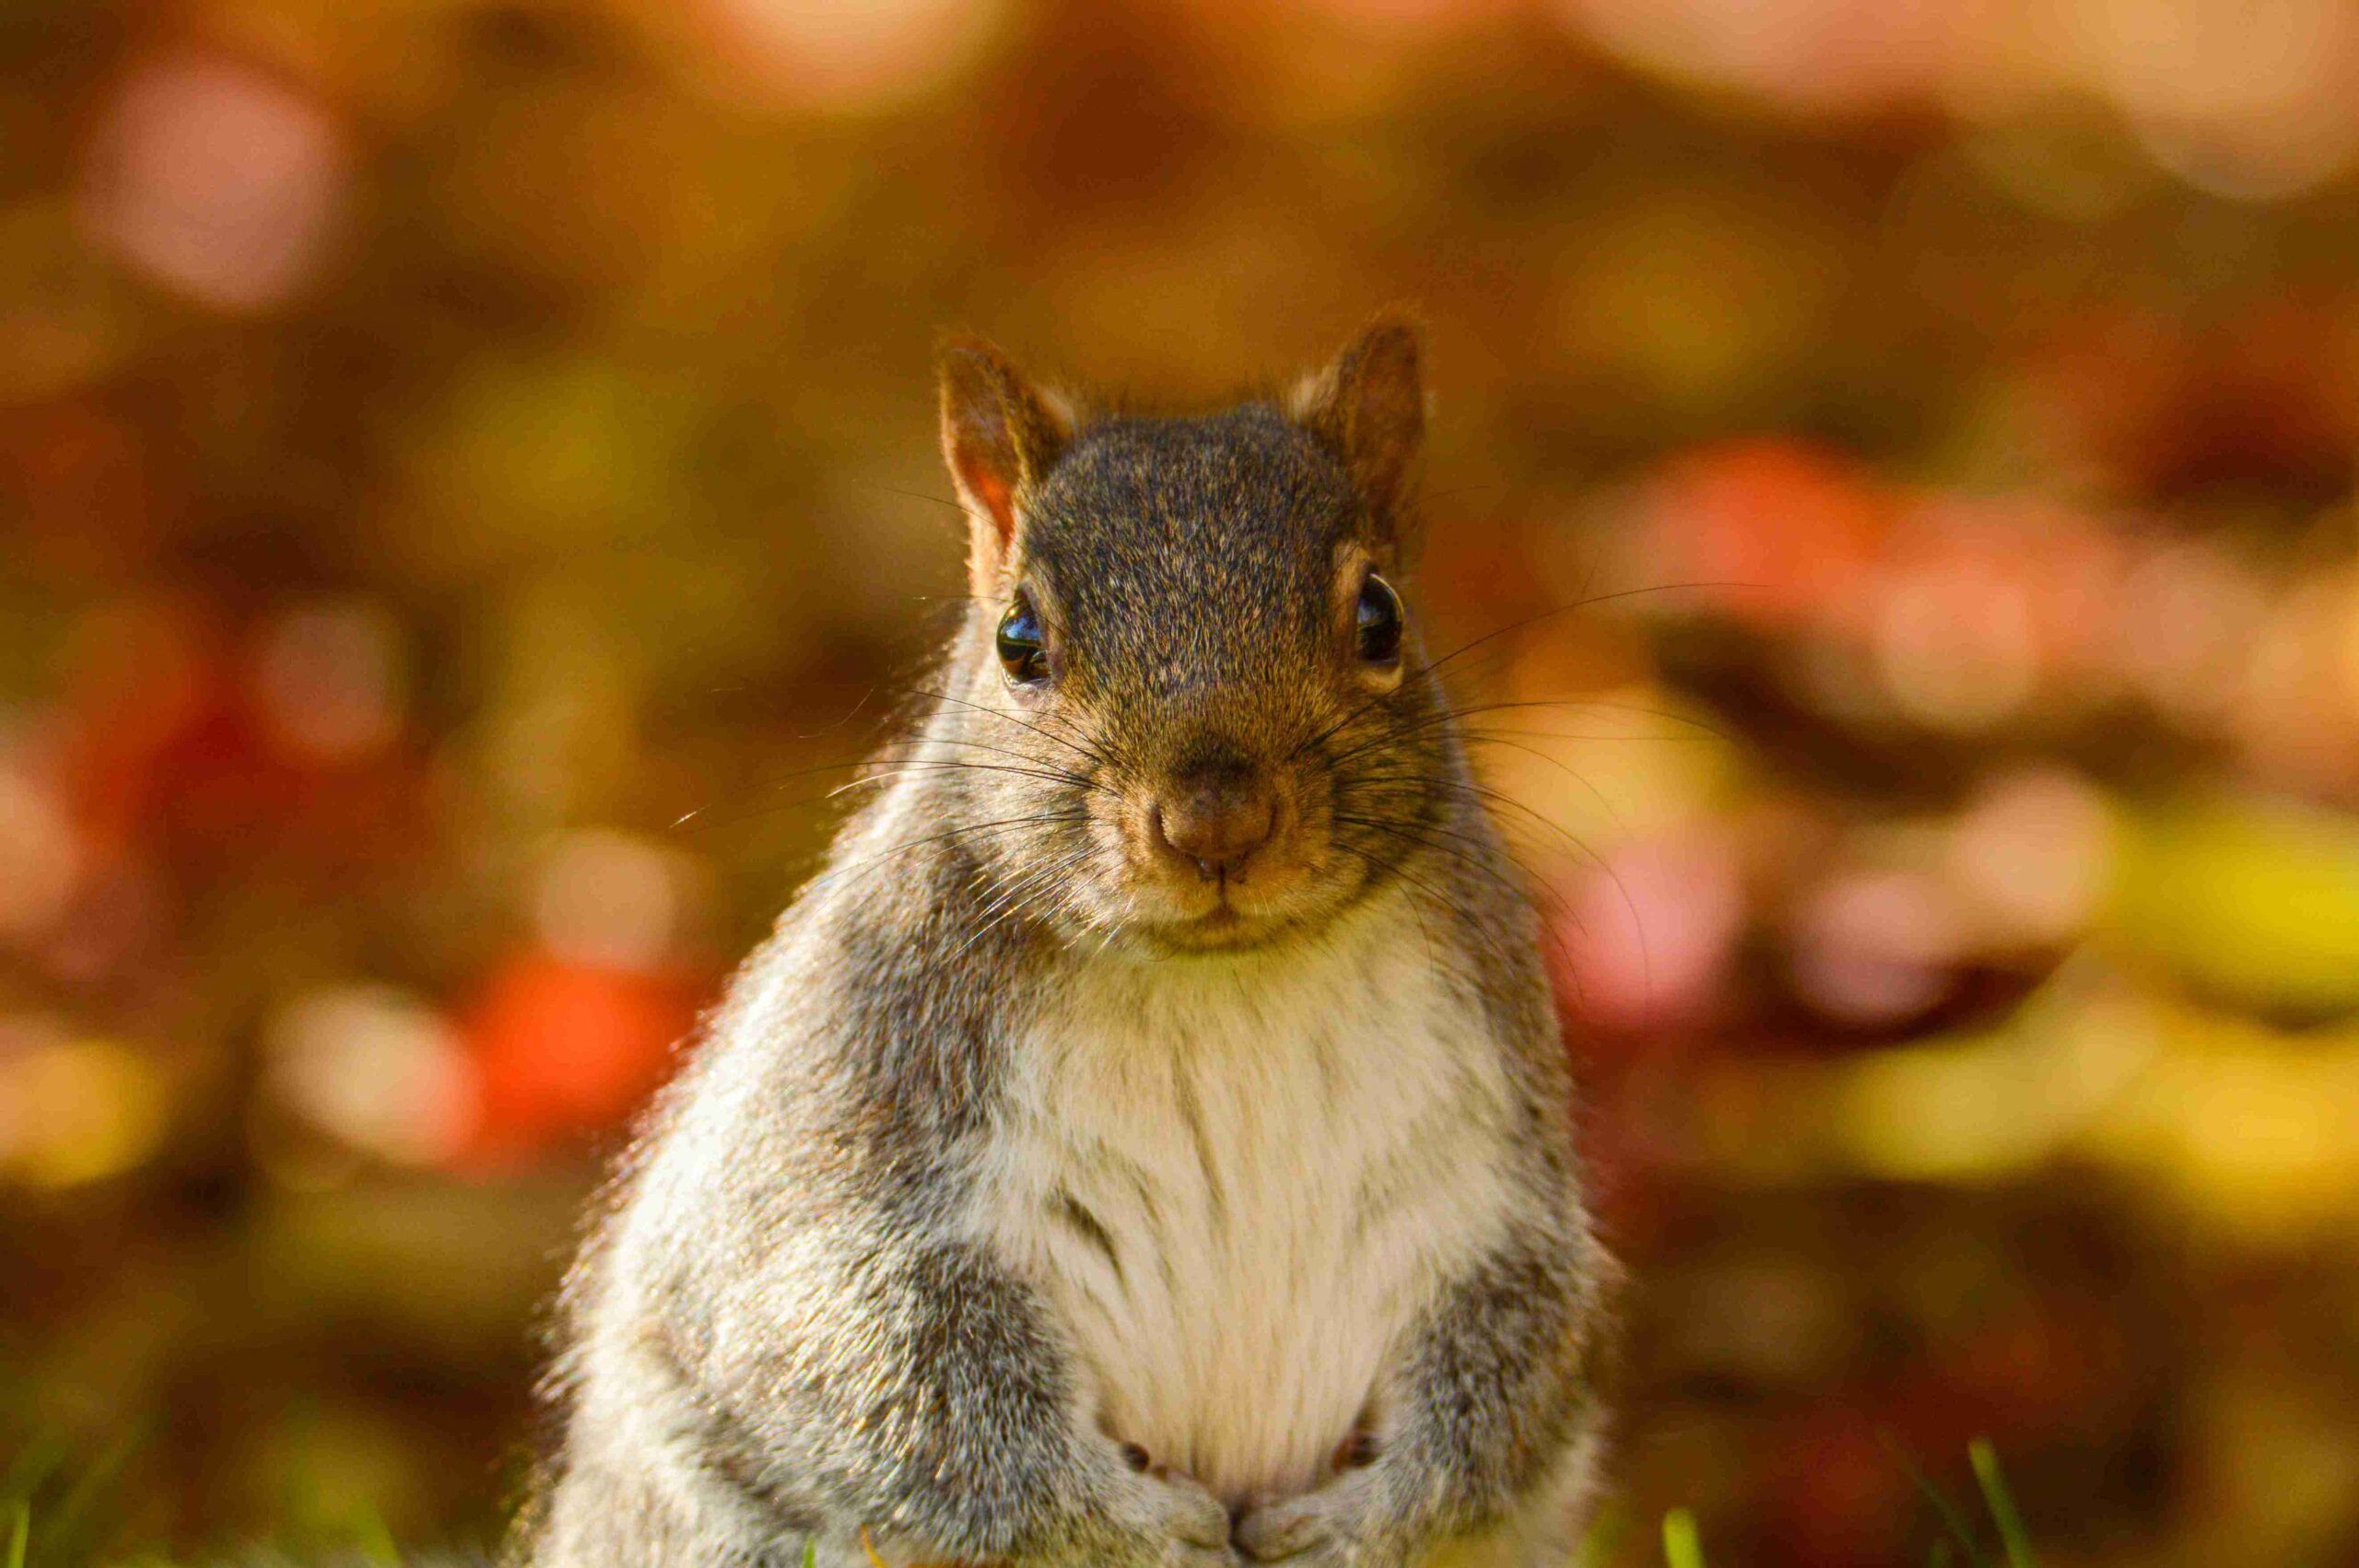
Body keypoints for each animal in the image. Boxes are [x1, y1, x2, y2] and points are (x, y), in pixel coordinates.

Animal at [519, 317, 1615, 1568]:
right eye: (1017, 640)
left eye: (1380, 615)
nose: (1216, 819)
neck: (1219, 985)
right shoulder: (849, 1110)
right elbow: (872, 1362)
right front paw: (1133, 1530)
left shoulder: (1495, 1165)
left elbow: (1516, 1353)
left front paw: (1362, 1526)